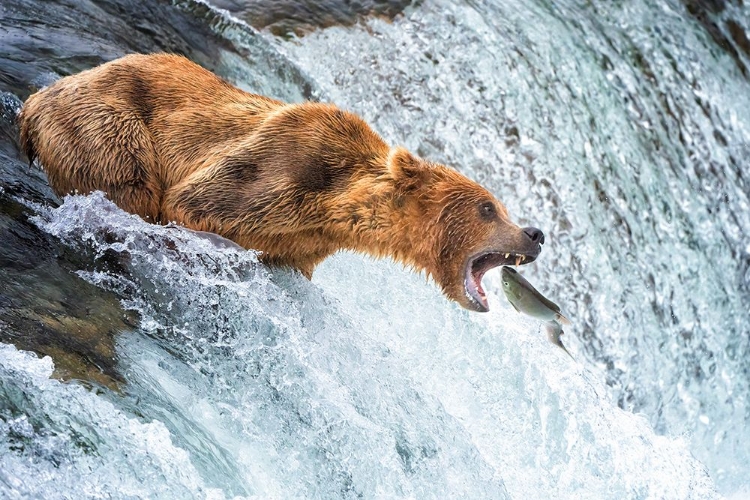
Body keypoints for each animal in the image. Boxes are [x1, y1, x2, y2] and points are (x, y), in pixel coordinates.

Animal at [19, 54, 548, 312]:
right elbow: (194, 203)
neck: (335, 208)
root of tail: (37, 98)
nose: (535, 233)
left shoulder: (302, 241)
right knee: (127, 187)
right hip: (110, 125)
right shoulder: (281, 165)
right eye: (487, 207)